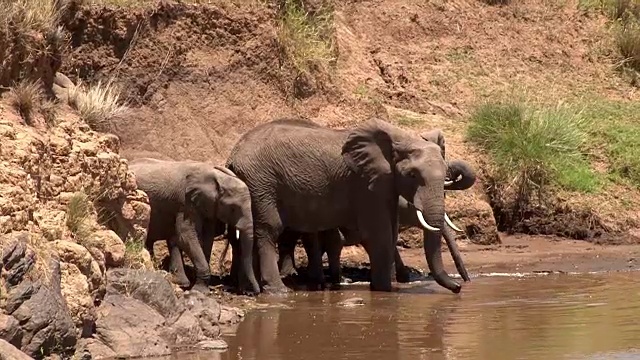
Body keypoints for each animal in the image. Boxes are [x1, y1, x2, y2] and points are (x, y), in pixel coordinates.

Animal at [127, 159, 260, 294]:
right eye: (233, 208)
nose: (253, 292)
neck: (219, 178)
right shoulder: (186, 203)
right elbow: (185, 236)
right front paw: (200, 290)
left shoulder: (209, 207)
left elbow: (207, 237)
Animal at [225, 116, 464, 294]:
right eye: (412, 175)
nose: (459, 287)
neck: (400, 138)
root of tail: (232, 156)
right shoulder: (363, 183)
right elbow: (378, 234)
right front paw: (384, 291)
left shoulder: (384, 184)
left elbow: (390, 231)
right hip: (261, 184)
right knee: (268, 230)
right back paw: (277, 290)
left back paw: (246, 288)